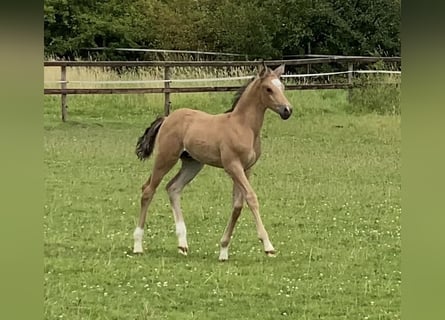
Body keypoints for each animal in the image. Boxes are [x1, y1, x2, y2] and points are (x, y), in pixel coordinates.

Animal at [132, 63, 292, 260]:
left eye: (282, 87)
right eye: (268, 89)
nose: (287, 110)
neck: (243, 126)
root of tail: (167, 118)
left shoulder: (246, 169)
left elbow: (237, 205)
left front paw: (223, 250)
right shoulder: (233, 166)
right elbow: (251, 198)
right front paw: (268, 246)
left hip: (193, 163)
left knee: (173, 188)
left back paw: (182, 244)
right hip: (165, 158)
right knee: (148, 190)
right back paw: (138, 245)